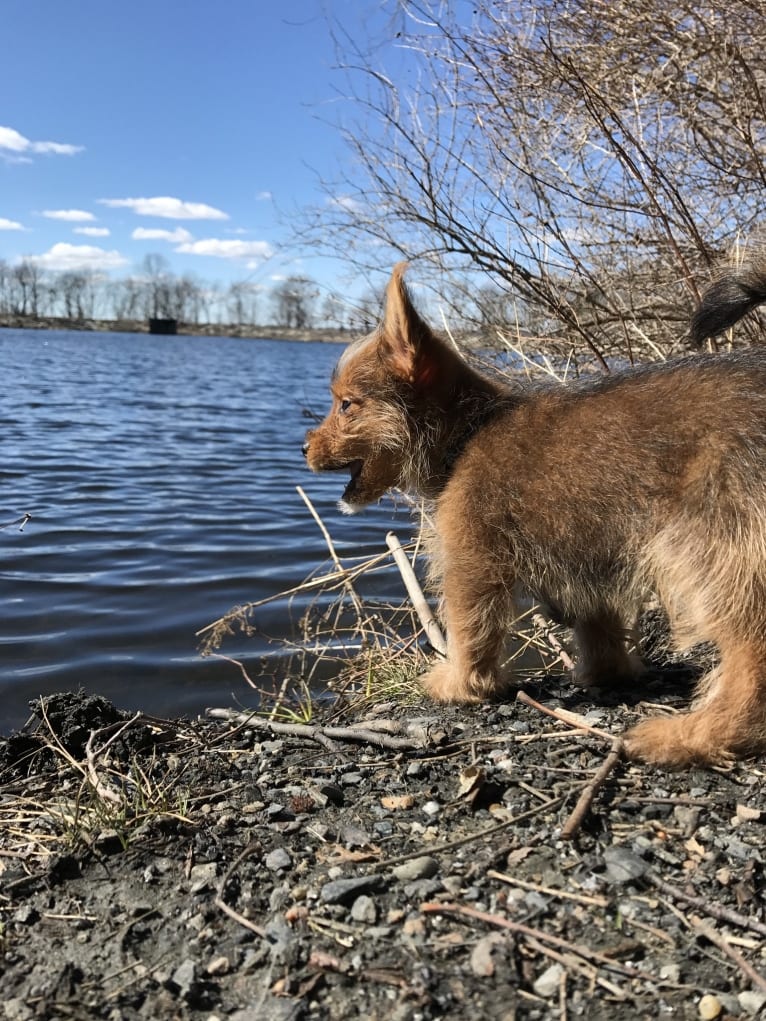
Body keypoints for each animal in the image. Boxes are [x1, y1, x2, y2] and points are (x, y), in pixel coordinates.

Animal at [304, 263, 766, 767]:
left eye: (346, 404)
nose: (303, 447)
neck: (468, 432)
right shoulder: (589, 557)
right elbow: (598, 624)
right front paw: (608, 674)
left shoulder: (471, 562)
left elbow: (470, 627)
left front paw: (459, 683)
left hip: (709, 551)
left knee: (751, 656)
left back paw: (695, 734)